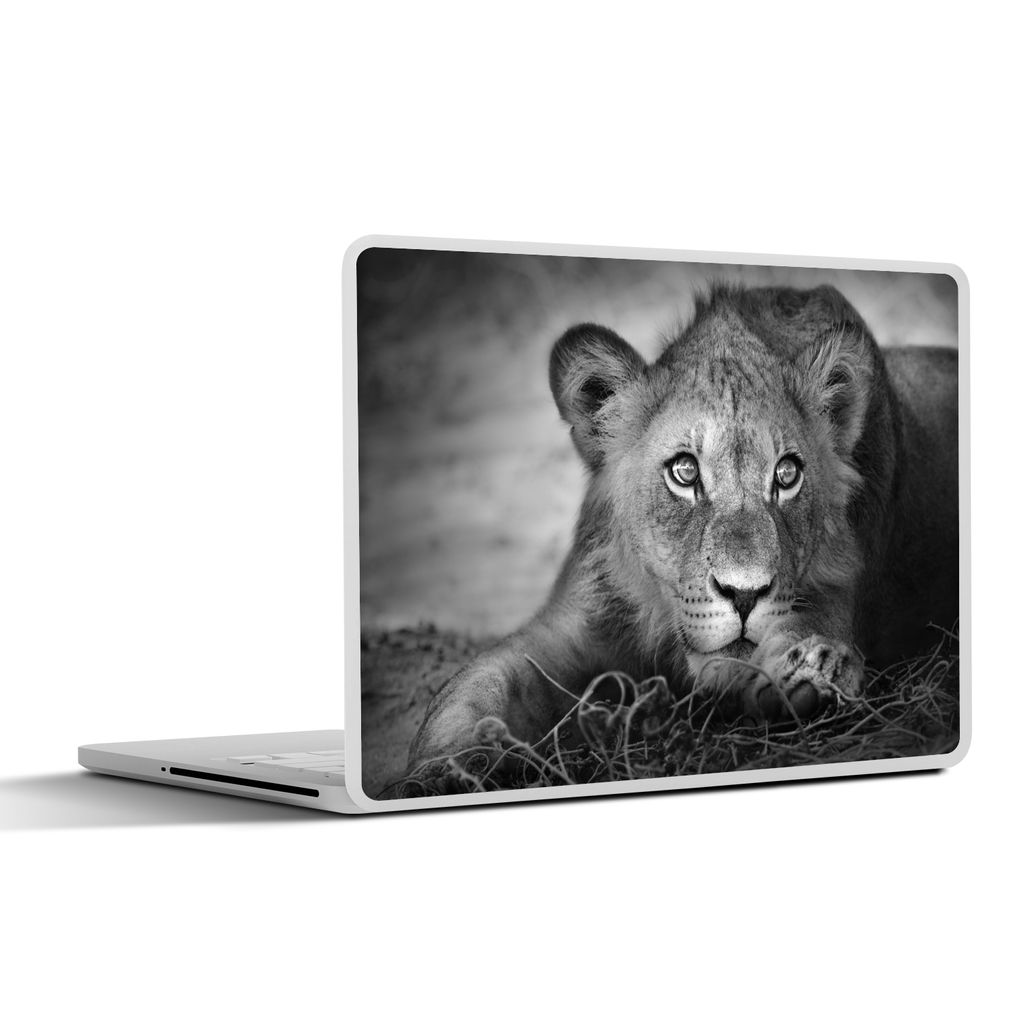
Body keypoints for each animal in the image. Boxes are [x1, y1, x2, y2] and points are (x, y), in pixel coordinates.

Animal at [407, 282, 959, 771]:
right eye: (685, 471)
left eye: (786, 475)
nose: (744, 595)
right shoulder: (573, 623)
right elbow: (475, 686)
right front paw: (440, 770)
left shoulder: (835, 591)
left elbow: (809, 629)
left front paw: (813, 675)